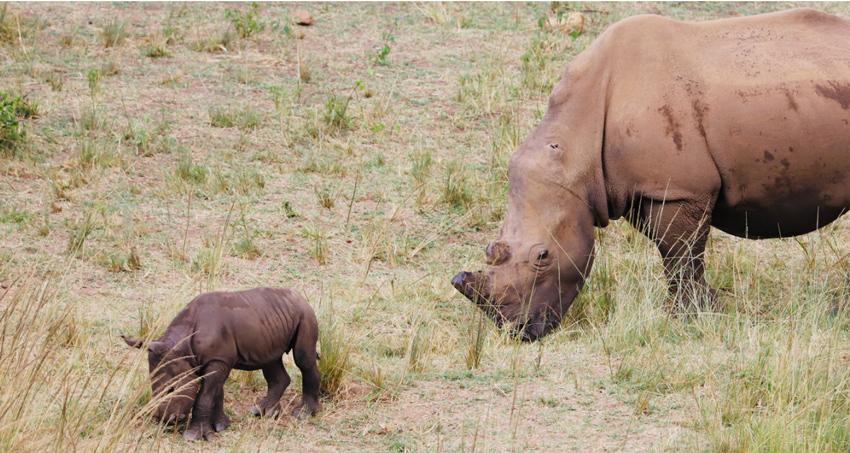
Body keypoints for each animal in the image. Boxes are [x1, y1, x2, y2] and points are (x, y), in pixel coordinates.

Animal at [119, 288, 318, 440]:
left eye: (171, 389)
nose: (165, 420)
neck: (181, 345)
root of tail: (300, 297)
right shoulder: (214, 360)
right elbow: (216, 393)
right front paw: (220, 426)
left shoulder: (217, 361)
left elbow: (205, 396)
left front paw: (193, 436)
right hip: (271, 322)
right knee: (270, 360)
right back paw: (262, 412)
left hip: (305, 315)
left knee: (303, 359)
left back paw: (303, 414)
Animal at [450, 7, 848, 340]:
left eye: (543, 256)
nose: (517, 331)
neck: (573, 150)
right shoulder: (642, 190)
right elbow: (674, 252)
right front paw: (707, 309)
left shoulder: (678, 189)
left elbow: (681, 255)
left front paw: (689, 319)